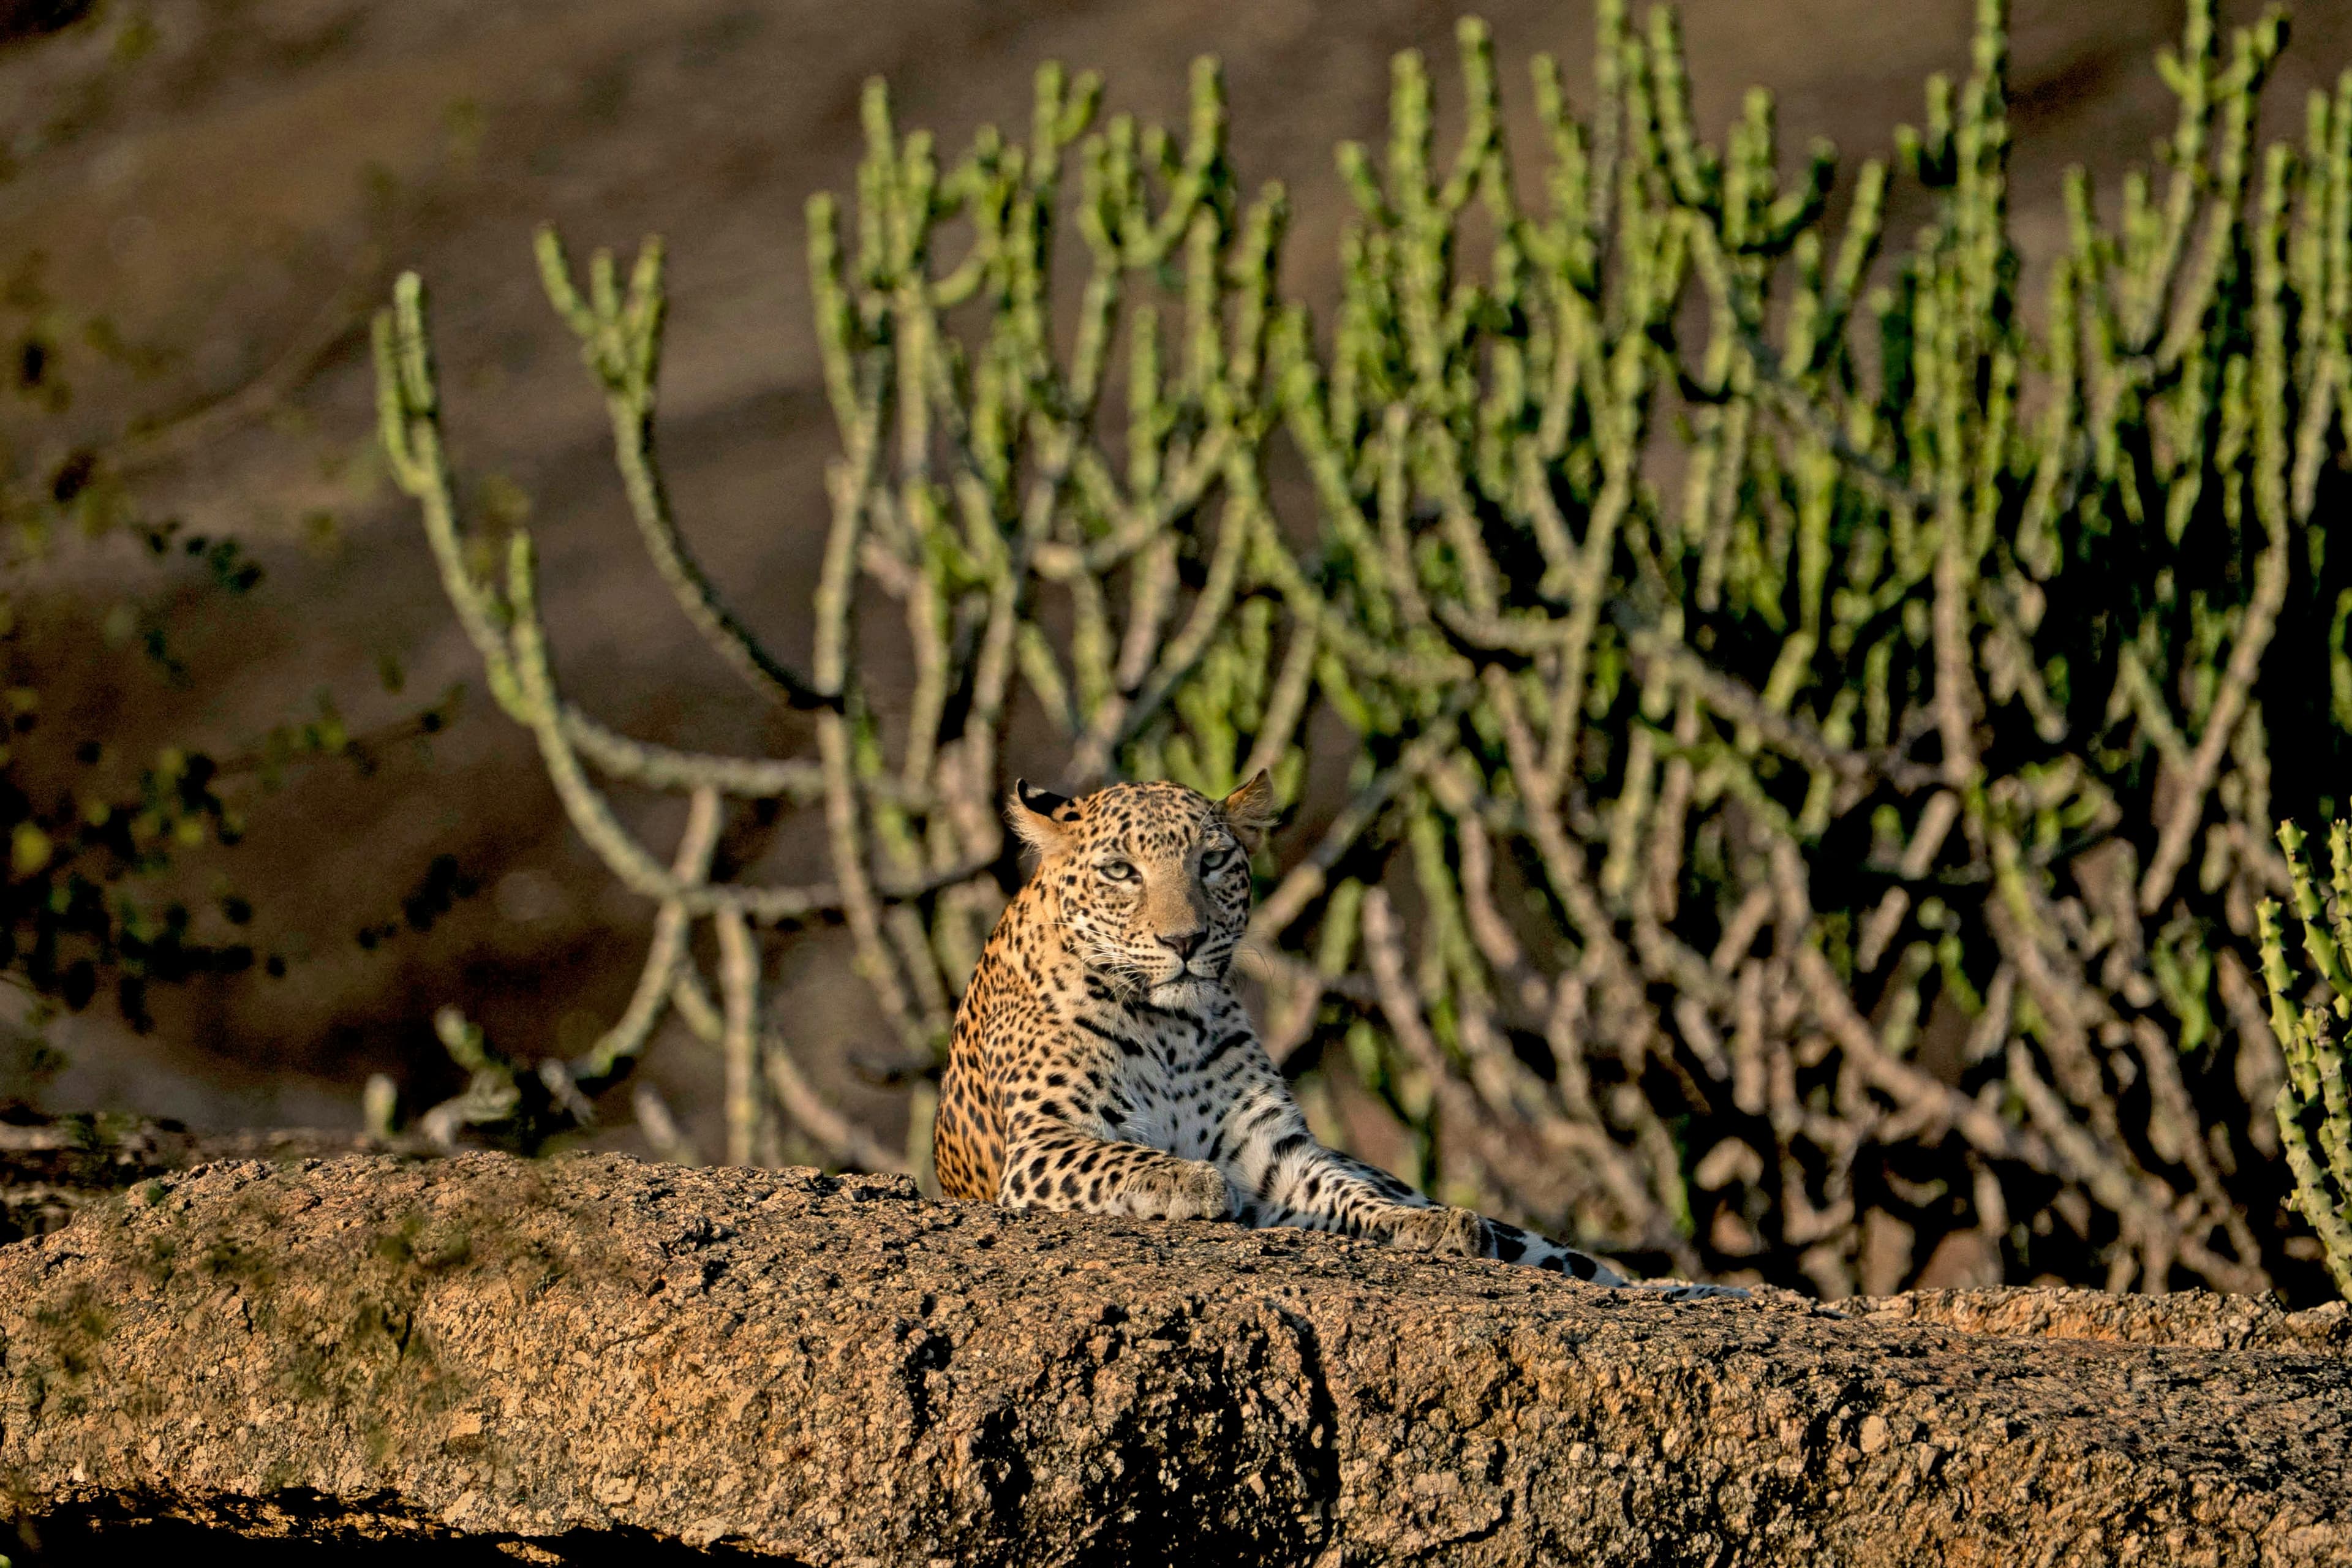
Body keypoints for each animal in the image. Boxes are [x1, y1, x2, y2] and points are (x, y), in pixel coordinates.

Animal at [933, 771, 1735, 1296]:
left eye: (1212, 862)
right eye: (1121, 871)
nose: (1184, 941)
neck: (1169, 1028)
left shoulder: (1277, 1158)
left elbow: (1352, 1194)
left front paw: (1429, 1225)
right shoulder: (1043, 1142)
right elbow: (1120, 1157)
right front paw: (1187, 1178)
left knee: (1587, 1266)